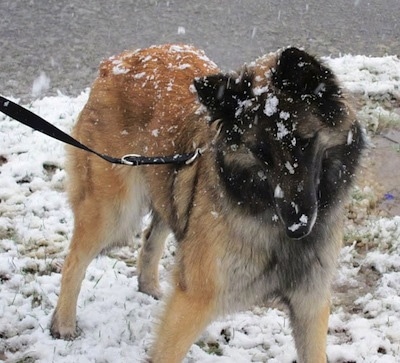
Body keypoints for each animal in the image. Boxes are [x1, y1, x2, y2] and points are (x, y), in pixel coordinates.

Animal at [50, 44, 366, 363]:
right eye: (260, 153)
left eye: (303, 142)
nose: (298, 227)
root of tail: (116, 62)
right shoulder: (193, 302)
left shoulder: (310, 305)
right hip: (115, 214)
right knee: (74, 261)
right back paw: (63, 323)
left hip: (170, 191)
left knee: (151, 237)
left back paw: (148, 286)